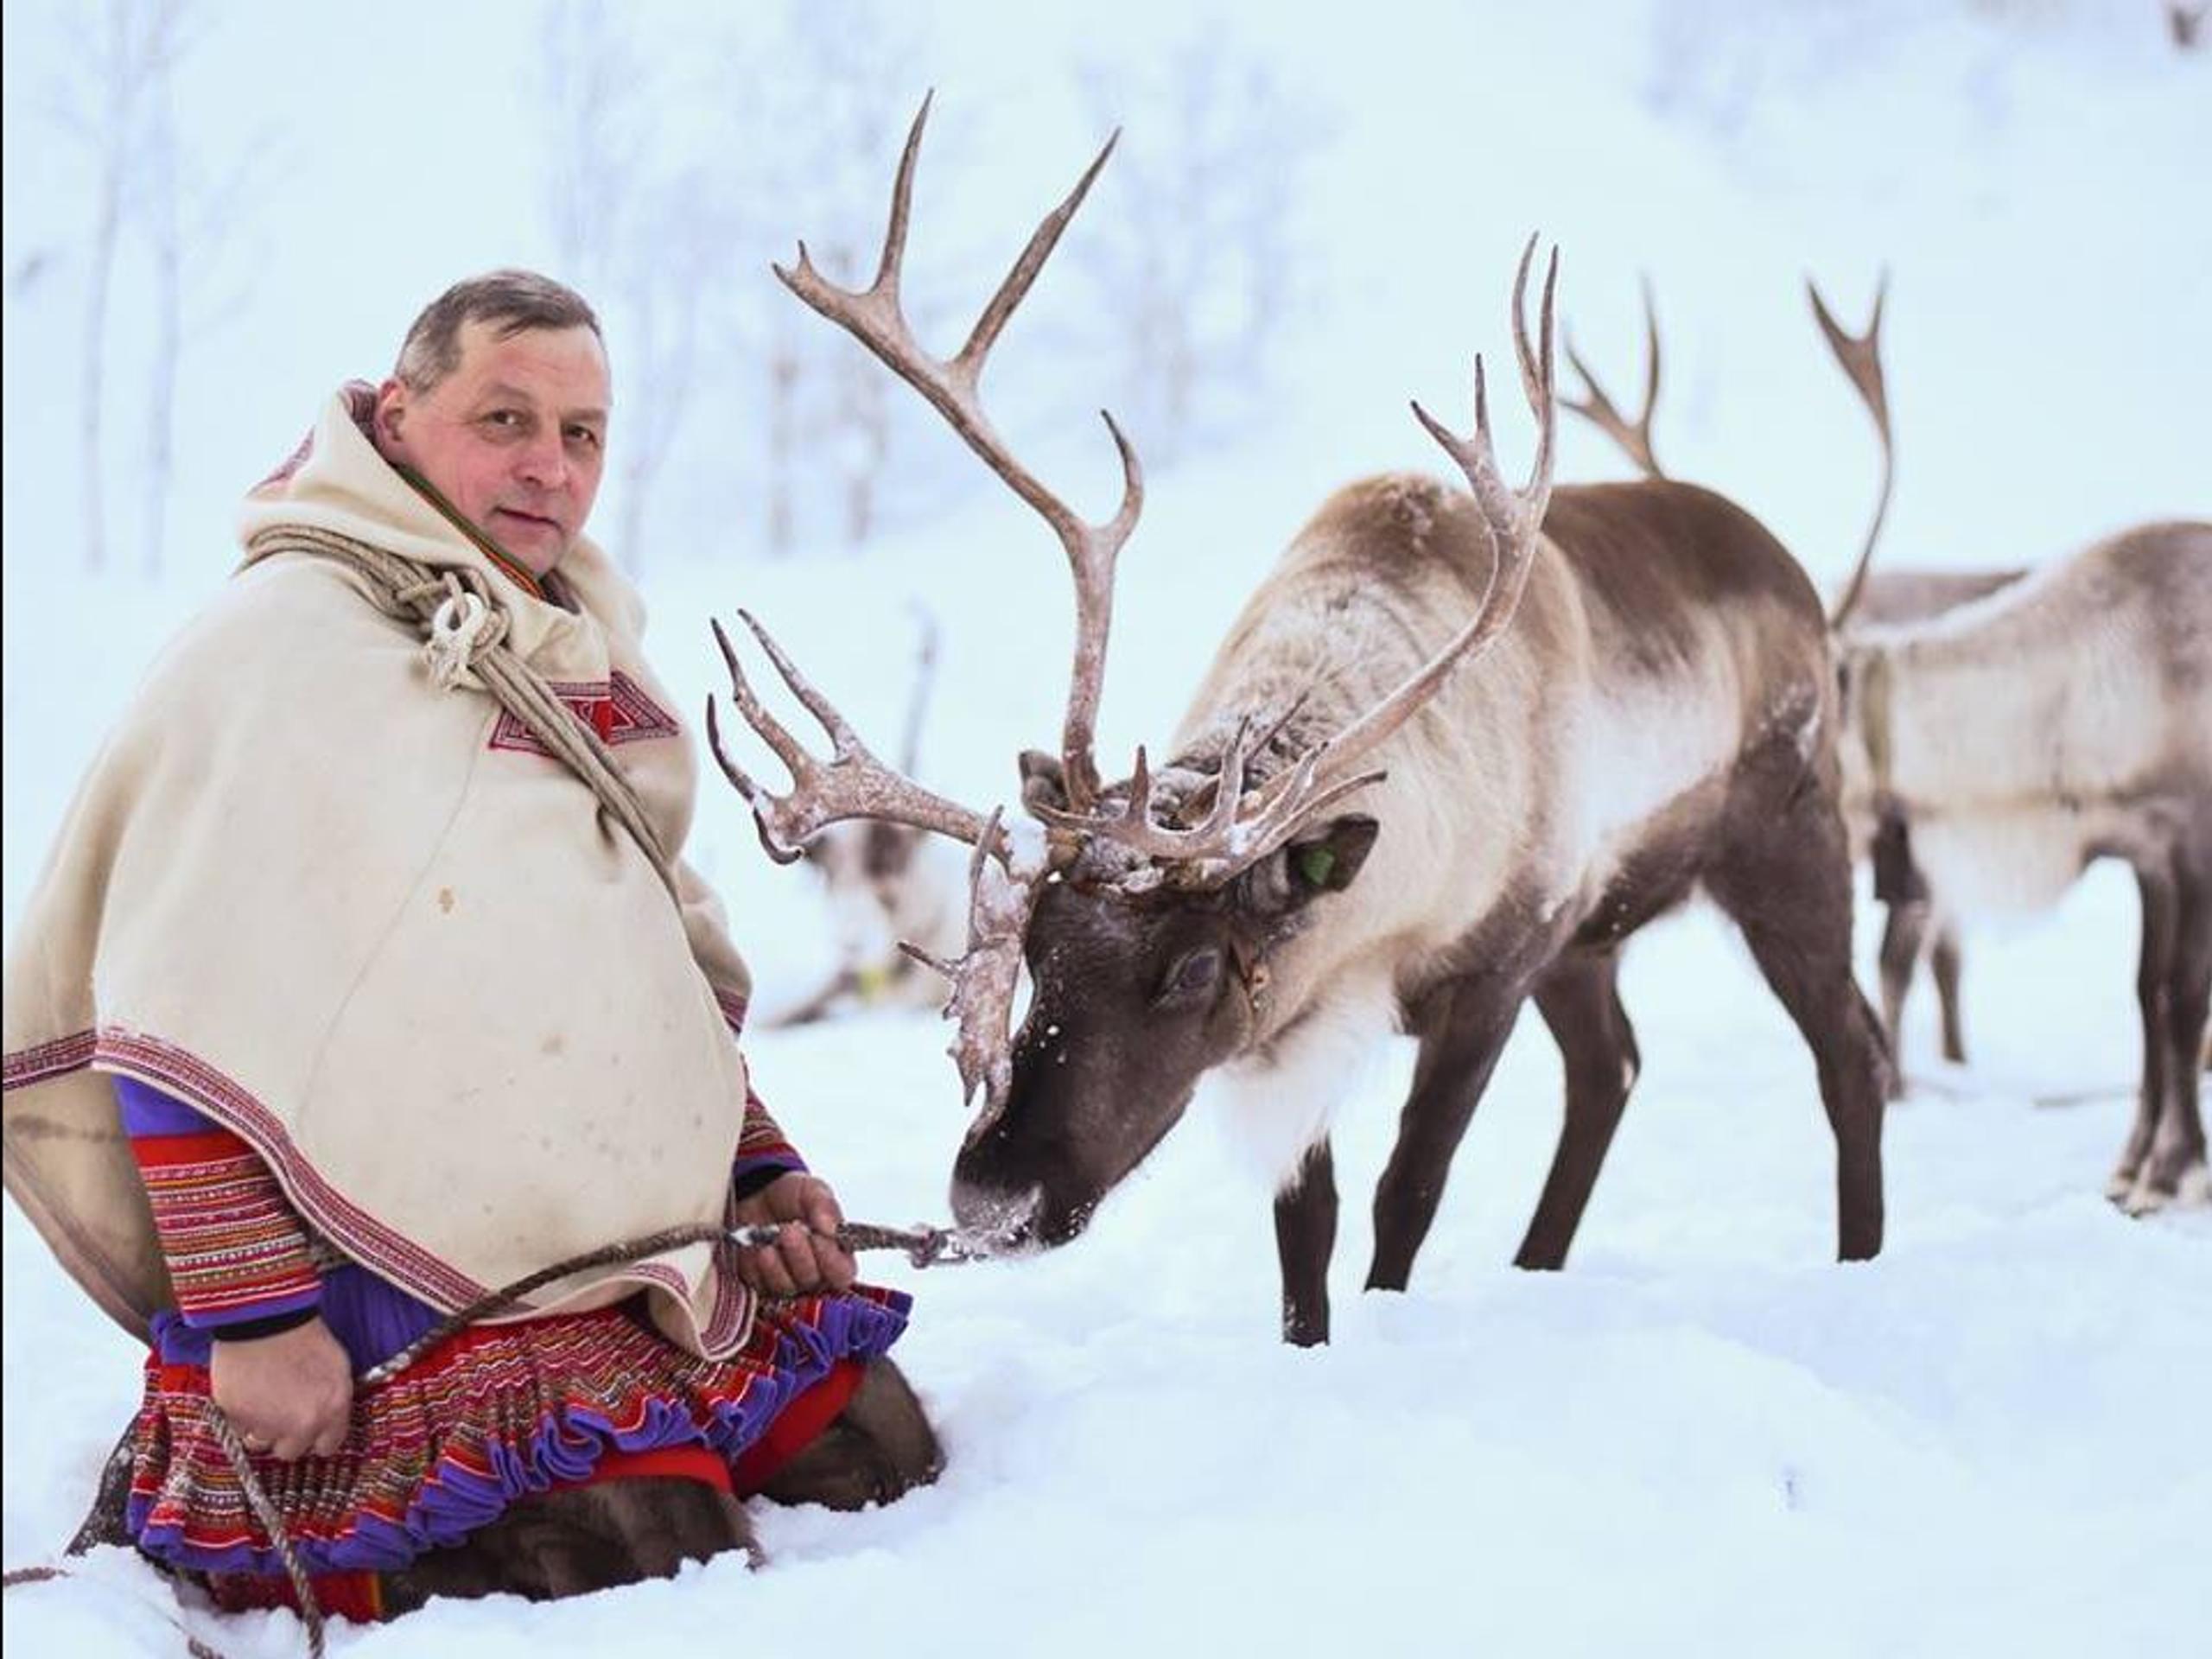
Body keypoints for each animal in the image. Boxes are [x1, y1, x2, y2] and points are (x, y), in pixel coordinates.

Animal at [708, 98, 1889, 1346]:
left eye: (1187, 969)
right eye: (1032, 948)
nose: (991, 1200)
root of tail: (1789, 567)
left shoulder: (1500, 964)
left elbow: (1407, 1187)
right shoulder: (1312, 1015)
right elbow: (1304, 1227)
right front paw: (1308, 1341)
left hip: (1789, 839)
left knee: (1847, 1050)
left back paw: (1859, 1262)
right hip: (1598, 941)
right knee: (1609, 1073)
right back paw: (1538, 1268)